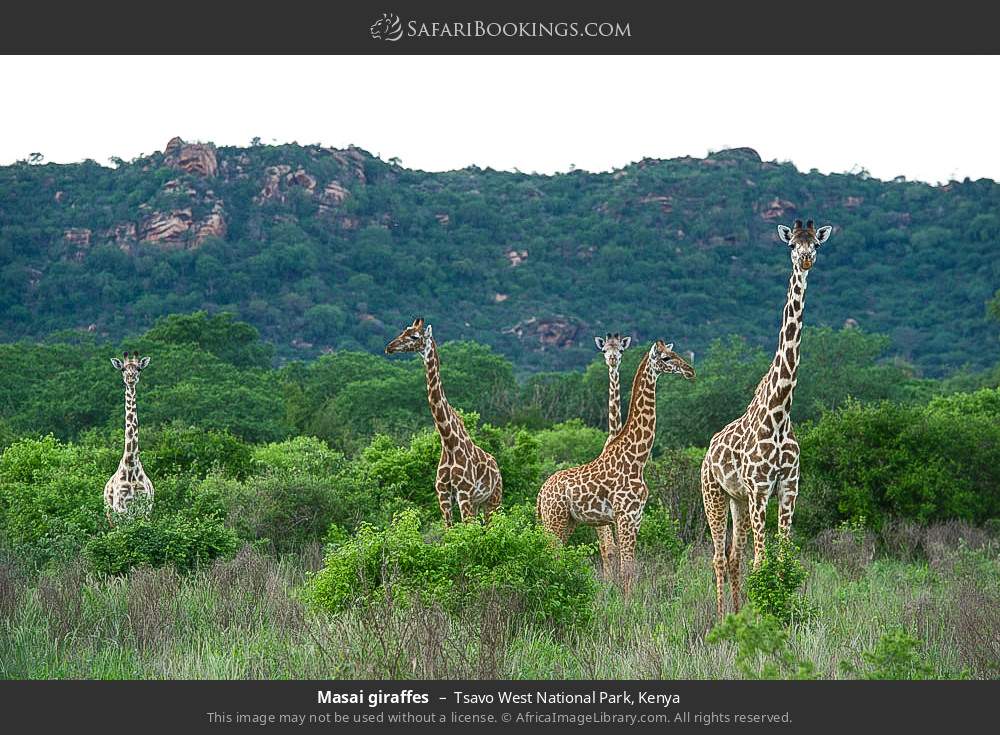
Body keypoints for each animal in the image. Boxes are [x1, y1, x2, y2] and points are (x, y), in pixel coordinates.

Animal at [104, 351, 154, 520]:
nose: (131, 378)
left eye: (139, 369)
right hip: (109, 513)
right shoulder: (121, 508)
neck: (131, 463)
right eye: (123, 369)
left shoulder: (145, 508)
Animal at [385, 318, 502, 526]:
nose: (389, 347)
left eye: (414, 336)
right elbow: (450, 531)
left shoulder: (464, 493)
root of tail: (497, 467)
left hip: (493, 499)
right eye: (403, 331)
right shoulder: (444, 496)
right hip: (477, 503)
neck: (448, 443)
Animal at [536, 341, 695, 593]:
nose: (690, 371)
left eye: (675, 352)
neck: (637, 459)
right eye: (666, 358)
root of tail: (541, 493)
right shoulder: (625, 516)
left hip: (566, 521)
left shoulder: (635, 517)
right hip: (555, 520)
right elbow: (626, 569)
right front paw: (628, 602)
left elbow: (629, 567)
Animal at [700, 219, 833, 616]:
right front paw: (761, 615)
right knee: (718, 557)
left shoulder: (788, 487)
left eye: (815, 245)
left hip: (738, 500)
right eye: (791, 245)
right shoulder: (760, 488)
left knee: (733, 557)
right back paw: (722, 615)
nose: (805, 260)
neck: (780, 411)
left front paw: (777, 611)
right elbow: (762, 561)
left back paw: (737, 609)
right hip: (713, 494)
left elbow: (784, 559)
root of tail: (707, 452)